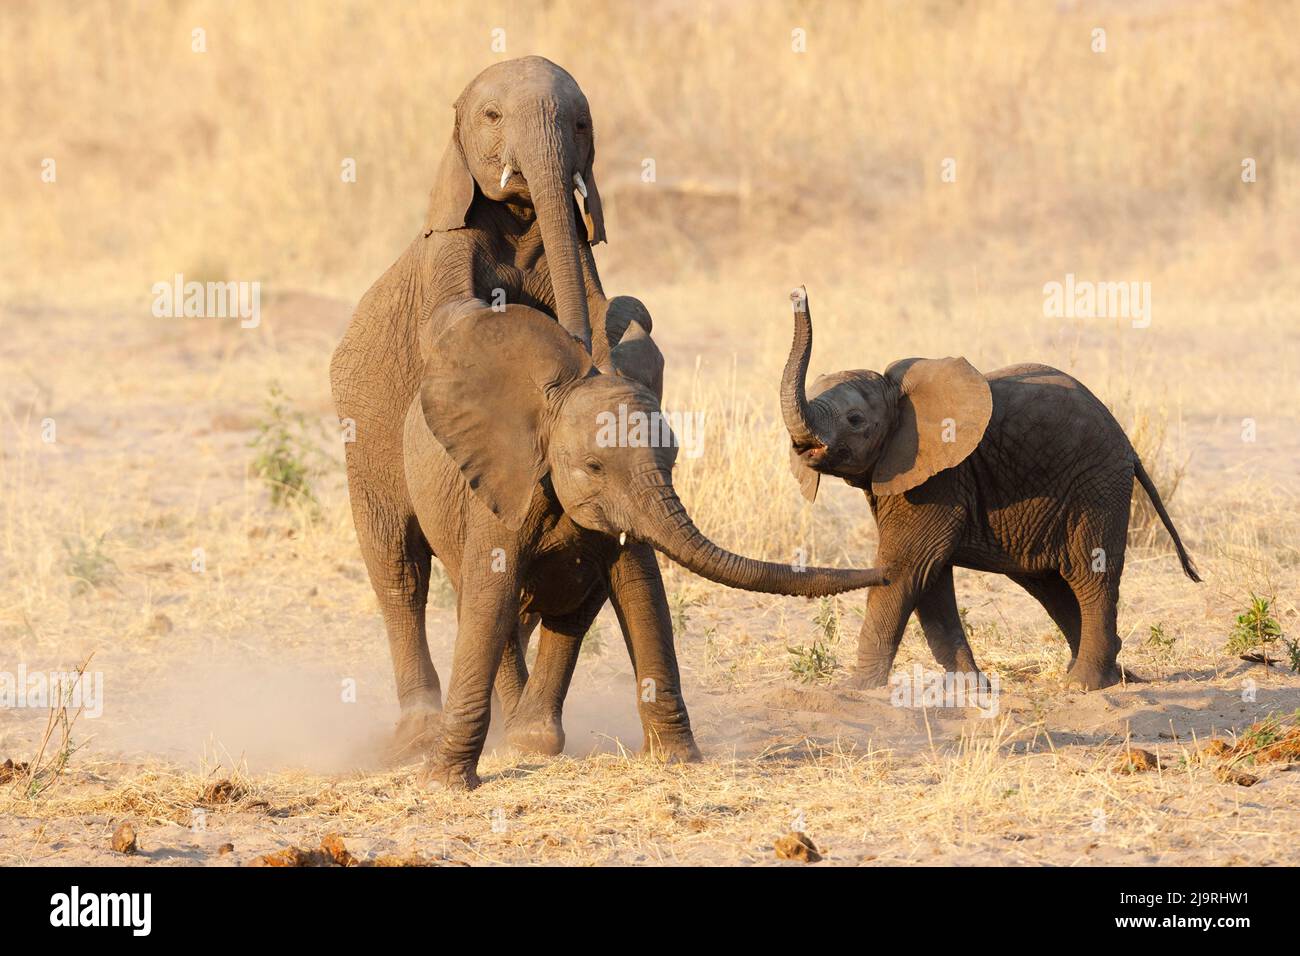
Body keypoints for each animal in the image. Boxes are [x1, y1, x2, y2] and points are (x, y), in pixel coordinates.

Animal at [332, 57, 655, 764]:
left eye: (582, 122)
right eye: (491, 116)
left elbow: (603, 306)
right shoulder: (448, 250)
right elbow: (455, 318)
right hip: (361, 430)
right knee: (399, 566)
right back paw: (420, 732)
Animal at [405, 303, 894, 790]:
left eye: (672, 457)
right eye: (593, 466)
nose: (887, 573)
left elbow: (643, 592)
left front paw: (676, 758)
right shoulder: (507, 490)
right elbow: (493, 598)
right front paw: (442, 782)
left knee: (571, 614)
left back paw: (531, 739)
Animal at [774, 287, 1201, 691]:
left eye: (855, 419)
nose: (798, 293)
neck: (899, 394)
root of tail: (1127, 445)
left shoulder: (942, 476)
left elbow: (909, 565)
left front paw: (859, 688)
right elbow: (931, 578)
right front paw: (971, 689)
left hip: (1097, 484)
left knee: (1089, 575)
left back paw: (1084, 684)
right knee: (1049, 584)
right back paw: (1114, 675)